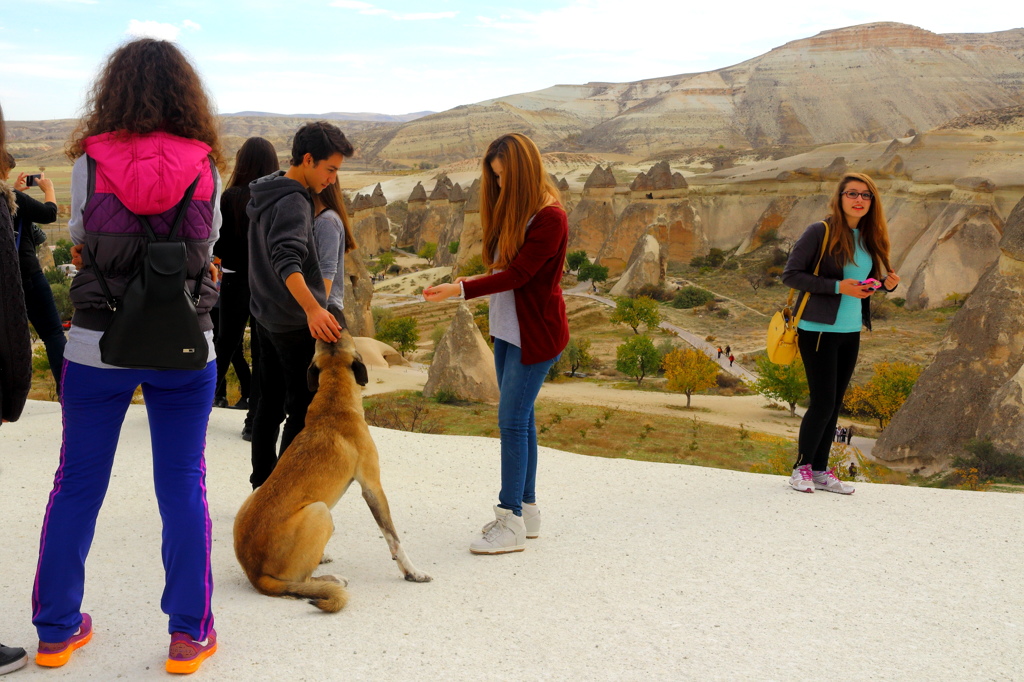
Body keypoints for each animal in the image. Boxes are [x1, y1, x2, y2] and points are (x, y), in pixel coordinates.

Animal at [234, 329, 430, 610]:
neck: (333, 397)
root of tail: (254, 574)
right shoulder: (372, 487)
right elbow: (394, 538)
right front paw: (412, 572)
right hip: (320, 511)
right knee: (303, 579)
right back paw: (332, 579)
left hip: (255, 498)